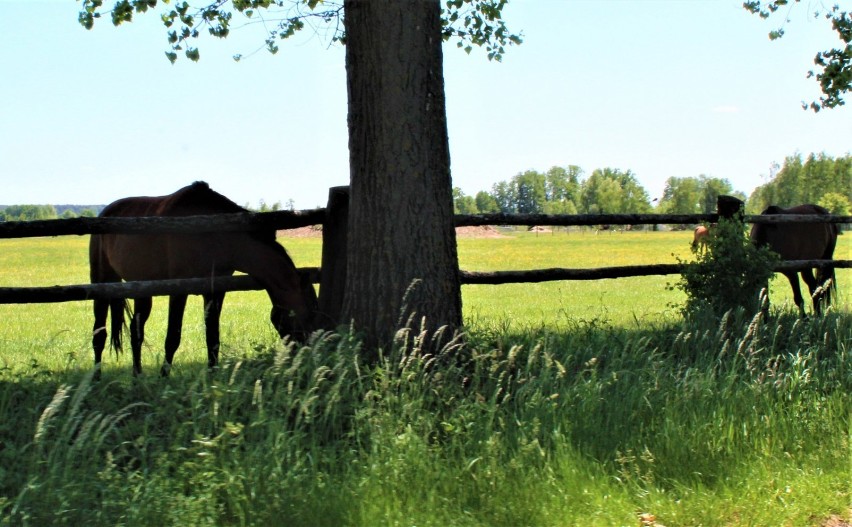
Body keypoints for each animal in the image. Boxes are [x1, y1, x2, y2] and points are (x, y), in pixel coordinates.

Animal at [90, 182, 318, 376]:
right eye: (307, 316)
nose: (309, 357)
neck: (214, 233)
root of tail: (106, 212)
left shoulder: (215, 291)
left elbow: (213, 337)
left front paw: (212, 376)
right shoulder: (179, 290)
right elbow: (173, 337)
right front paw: (164, 378)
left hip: (142, 291)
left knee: (136, 333)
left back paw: (137, 378)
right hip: (101, 281)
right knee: (99, 333)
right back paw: (96, 379)